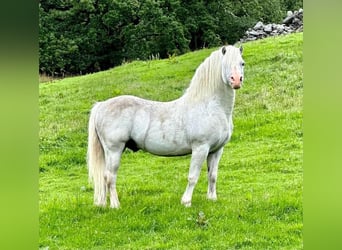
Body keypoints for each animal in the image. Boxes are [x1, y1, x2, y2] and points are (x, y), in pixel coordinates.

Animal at [87, 45, 243, 209]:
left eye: (242, 63)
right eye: (225, 64)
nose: (236, 80)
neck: (209, 106)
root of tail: (101, 105)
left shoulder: (216, 150)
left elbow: (212, 175)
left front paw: (212, 199)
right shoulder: (200, 148)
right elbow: (193, 177)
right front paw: (186, 202)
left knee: (105, 177)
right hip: (114, 150)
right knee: (110, 176)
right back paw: (115, 205)